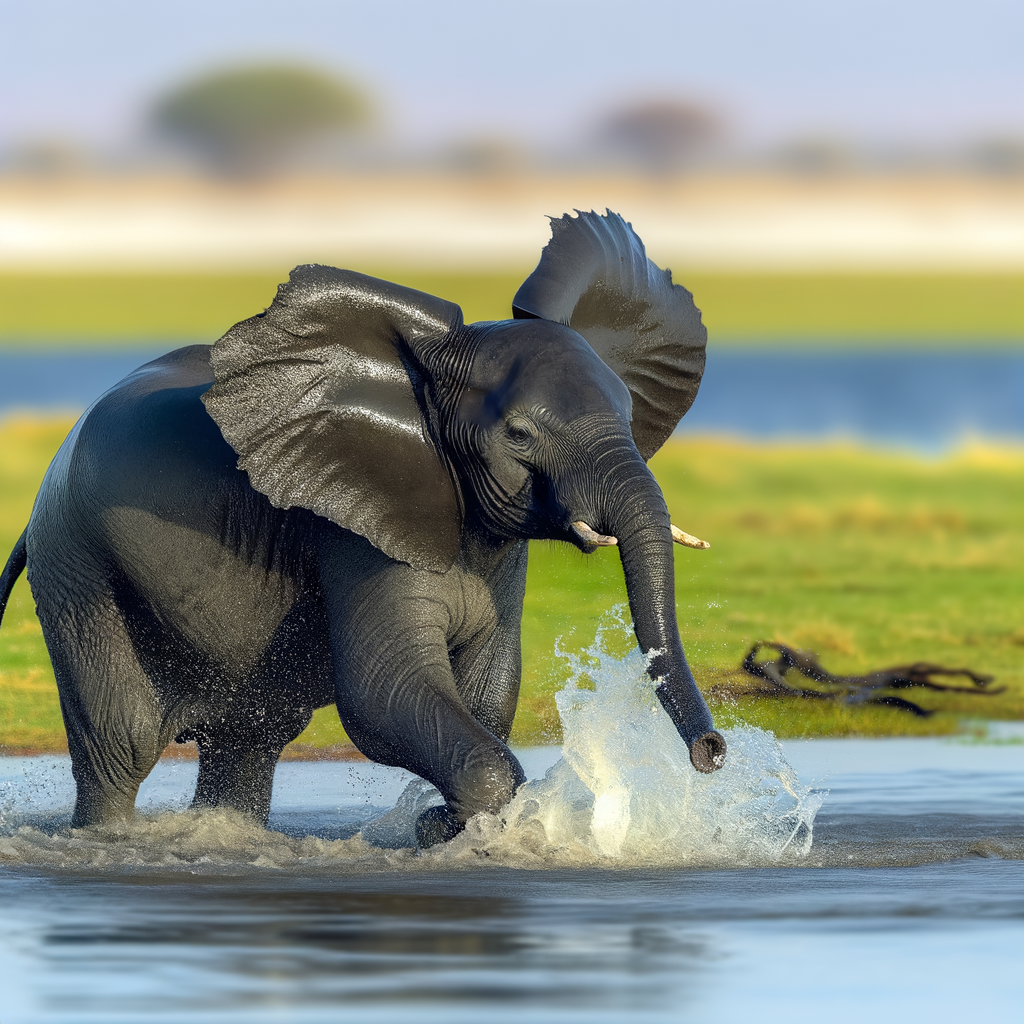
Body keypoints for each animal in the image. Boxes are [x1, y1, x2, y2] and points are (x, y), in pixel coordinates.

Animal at [0, 209, 725, 845]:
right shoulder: (356, 527)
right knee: (122, 741)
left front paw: (445, 826)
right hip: (77, 564)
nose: (713, 752)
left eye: (629, 415)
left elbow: (489, 691)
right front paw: (448, 830)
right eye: (518, 434)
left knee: (247, 739)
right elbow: (383, 694)